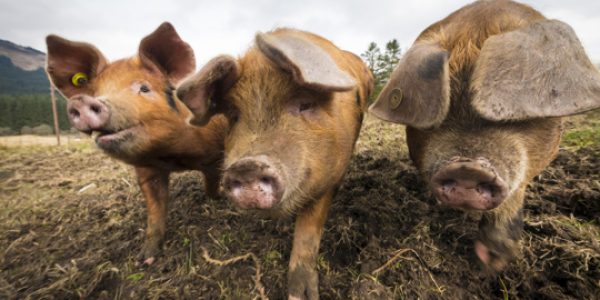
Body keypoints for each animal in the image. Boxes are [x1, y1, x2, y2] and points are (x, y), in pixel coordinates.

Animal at [45, 22, 229, 264]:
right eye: (98, 92)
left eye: (144, 88)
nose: (82, 101)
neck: (172, 157)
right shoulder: (146, 171)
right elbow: (155, 211)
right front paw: (146, 259)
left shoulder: (214, 155)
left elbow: (212, 182)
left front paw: (220, 197)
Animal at [176, 28, 372, 300]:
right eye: (234, 115)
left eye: (305, 104)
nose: (247, 165)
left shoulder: (332, 175)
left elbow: (308, 229)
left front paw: (300, 295)